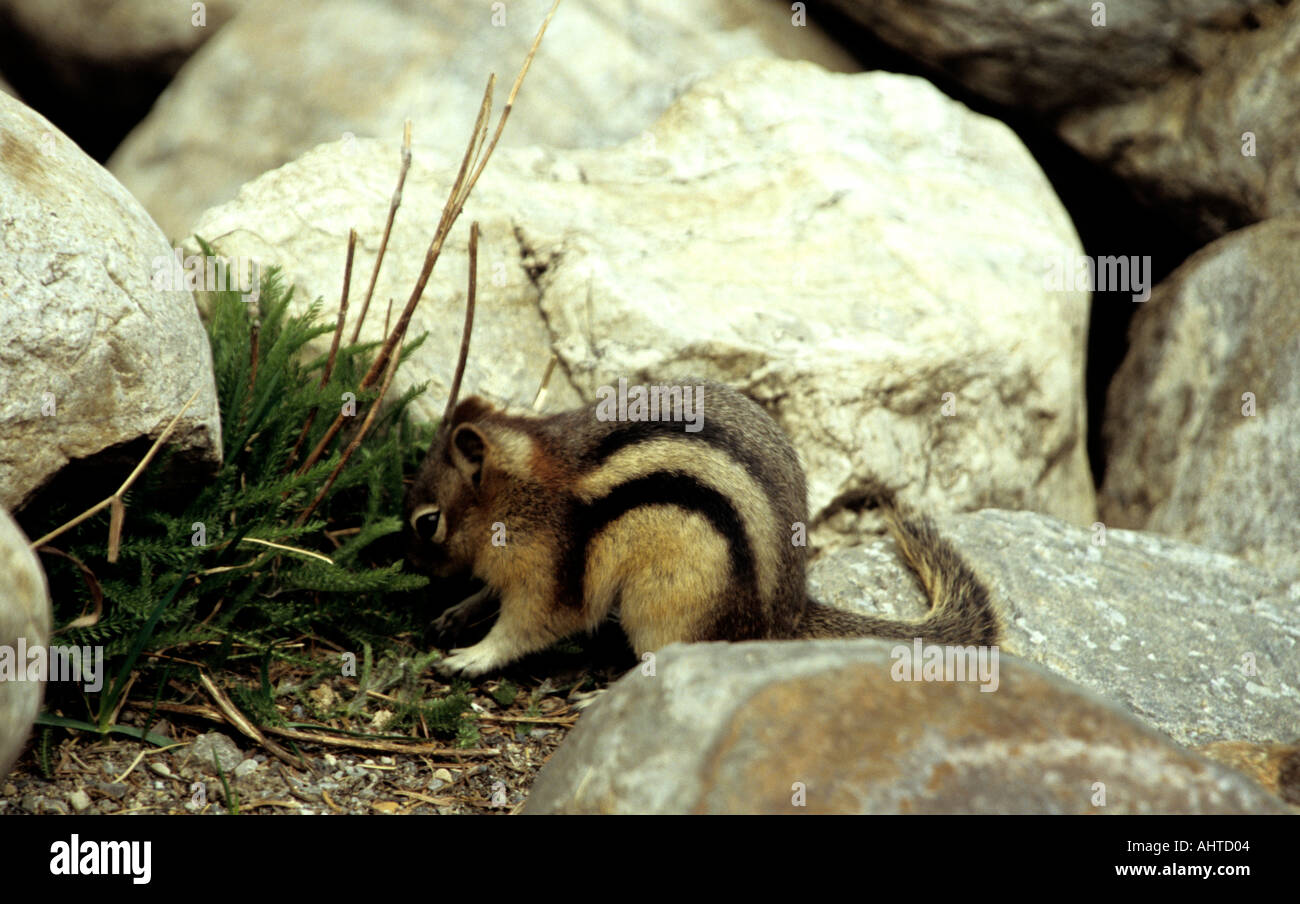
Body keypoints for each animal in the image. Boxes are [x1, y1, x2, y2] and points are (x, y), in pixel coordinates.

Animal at [403, 377, 993, 676]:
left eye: (428, 523)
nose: (413, 571)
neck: (521, 494)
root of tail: (786, 615)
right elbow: (491, 594)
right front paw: (458, 613)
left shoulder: (554, 575)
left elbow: (530, 627)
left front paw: (472, 657)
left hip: (666, 606)